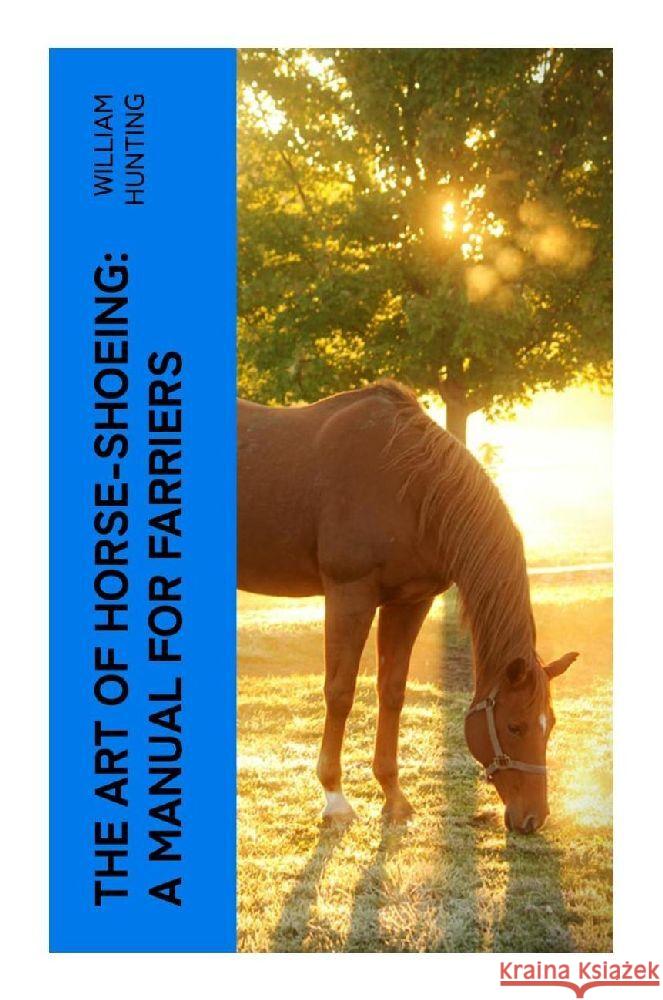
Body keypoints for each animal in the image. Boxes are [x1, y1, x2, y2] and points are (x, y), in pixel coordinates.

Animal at [238, 380, 578, 834]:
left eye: (550, 723)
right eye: (514, 725)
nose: (532, 819)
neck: (409, 486)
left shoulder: (410, 601)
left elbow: (393, 690)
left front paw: (394, 797)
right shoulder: (350, 594)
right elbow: (340, 692)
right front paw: (335, 799)